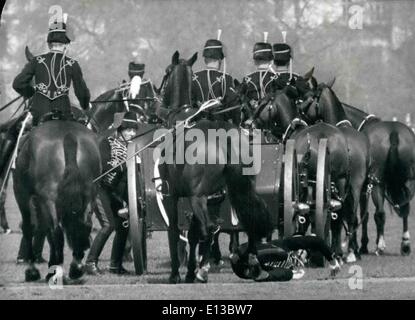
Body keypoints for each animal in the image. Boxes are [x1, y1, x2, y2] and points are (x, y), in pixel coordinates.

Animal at [13, 120, 101, 282]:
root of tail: (68, 135)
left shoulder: (24, 196)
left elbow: (30, 228)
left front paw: (32, 271)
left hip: (47, 199)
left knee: (56, 232)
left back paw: (54, 272)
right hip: (90, 194)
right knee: (84, 226)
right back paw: (75, 267)